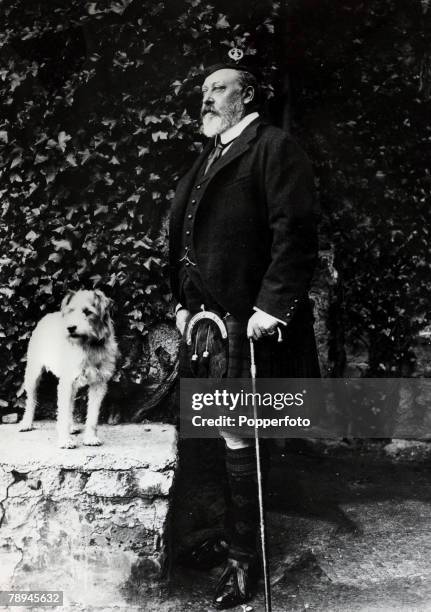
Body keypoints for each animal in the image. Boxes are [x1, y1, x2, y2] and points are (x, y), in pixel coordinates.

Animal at [19, 290, 118, 448]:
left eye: (88, 312)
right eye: (71, 311)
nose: (70, 328)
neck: (88, 345)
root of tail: (48, 316)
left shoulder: (99, 384)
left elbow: (92, 416)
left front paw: (90, 438)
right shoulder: (66, 382)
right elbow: (63, 413)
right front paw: (65, 440)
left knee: (70, 404)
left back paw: (71, 426)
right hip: (33, 373)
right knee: (31, 399)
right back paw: (27, 423)